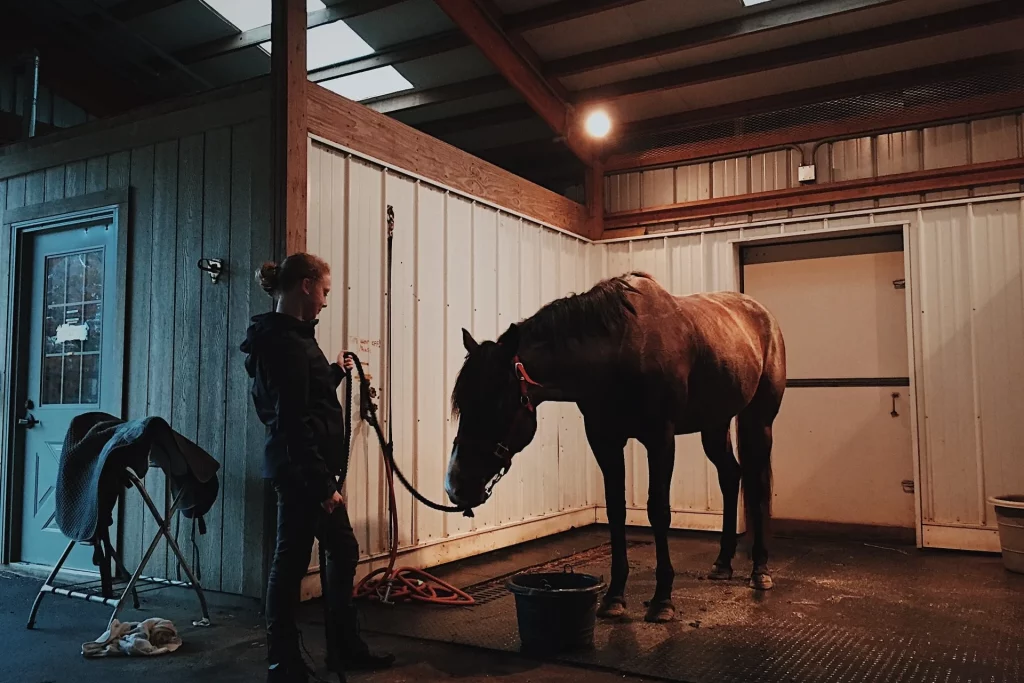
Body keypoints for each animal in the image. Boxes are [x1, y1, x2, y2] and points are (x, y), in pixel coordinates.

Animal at [444, 272, 786, 626]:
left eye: (498, 403)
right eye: (462, 404)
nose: (455, 486)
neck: (620, 351)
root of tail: (763, 316)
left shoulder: (660, 439)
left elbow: (658, 511)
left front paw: (662, 600)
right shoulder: (604, 440)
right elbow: (615, 510)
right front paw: (614, 597)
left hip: (759, 422)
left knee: (758, 485)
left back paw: (760, 570)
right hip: (715, 425)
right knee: (730, 477)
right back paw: (722, 563)